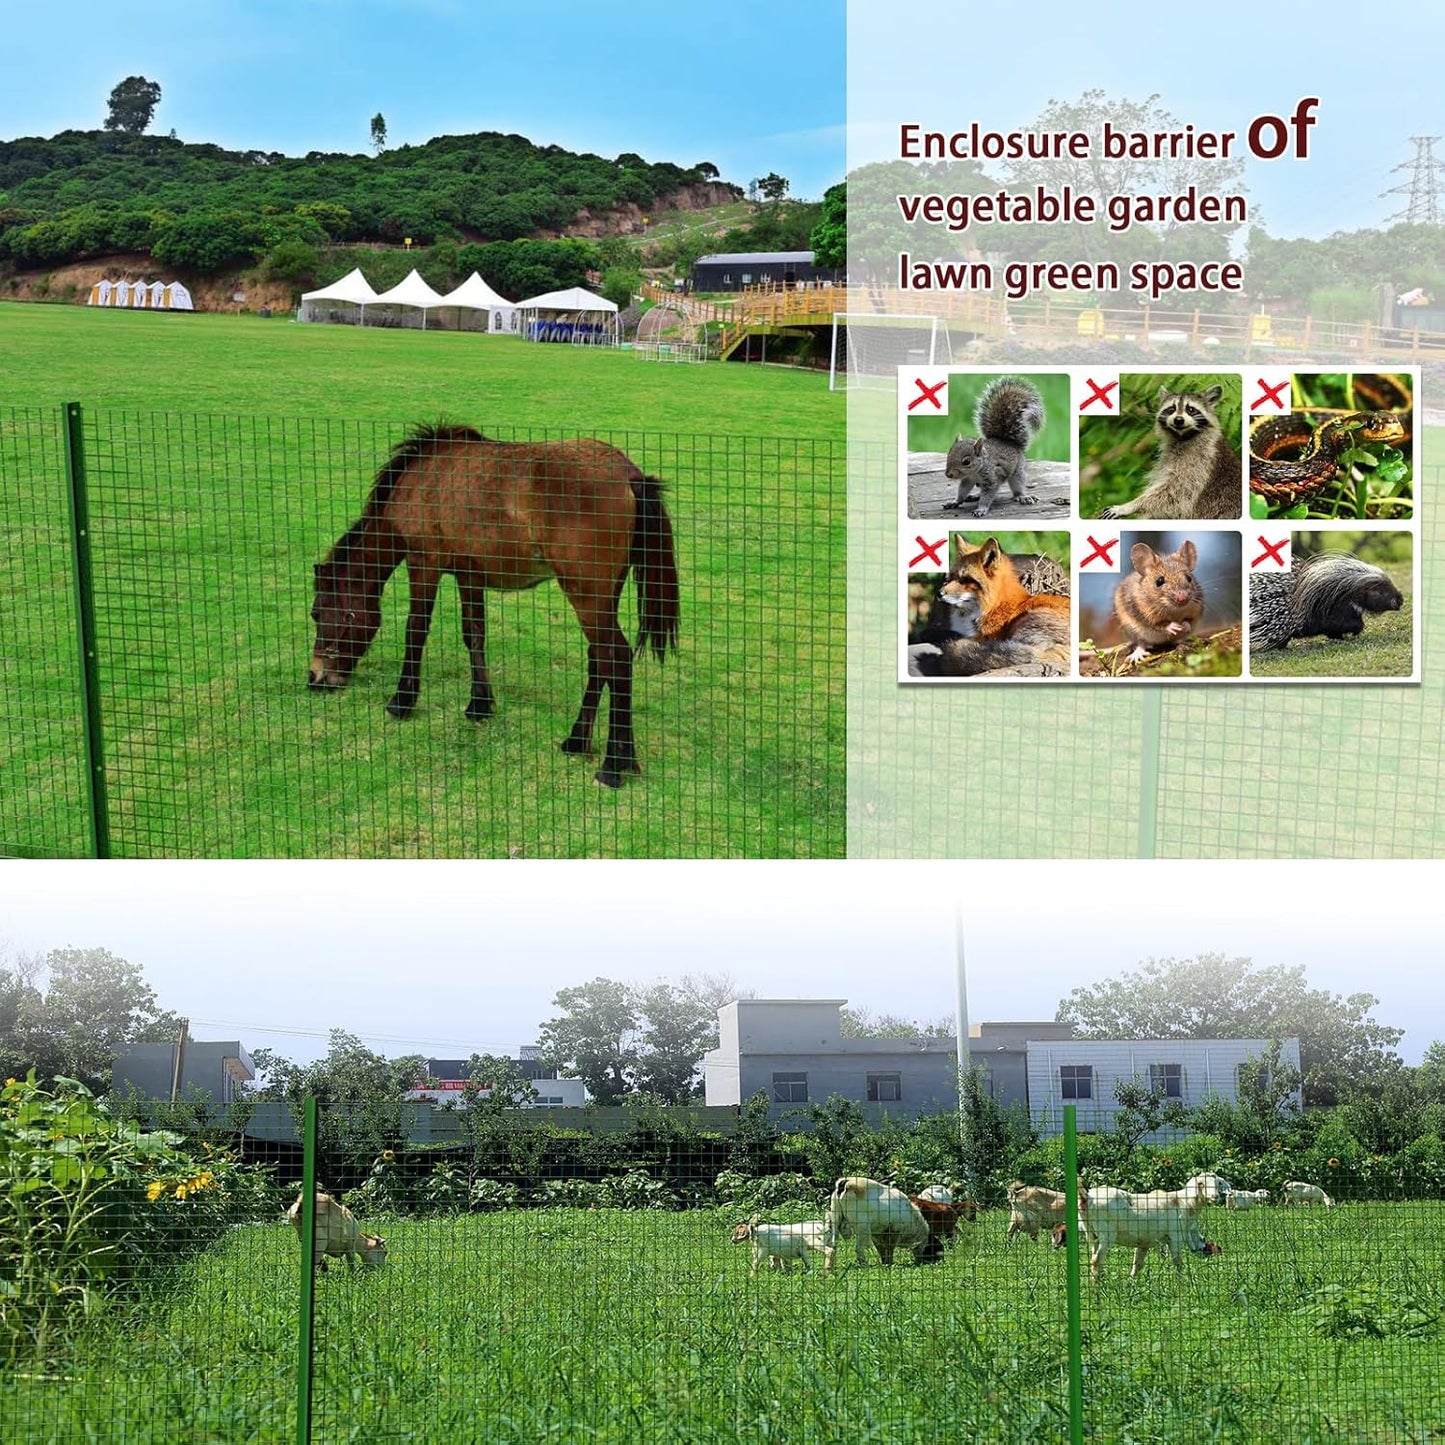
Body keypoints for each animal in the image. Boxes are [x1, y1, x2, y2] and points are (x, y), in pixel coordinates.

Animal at [929, 537, 1071, 676]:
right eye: (951, 578)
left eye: (966, 580)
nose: (939, 593)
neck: (991, 606)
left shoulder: (986, 636)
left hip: (1026, 621)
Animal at [1098, 385, 1241, 521]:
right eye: (1171, 409)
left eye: (1191, 409)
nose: (1178, 420)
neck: (1182, 437)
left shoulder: (1199, 461)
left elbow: (1176, 492)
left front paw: (1130, 506)